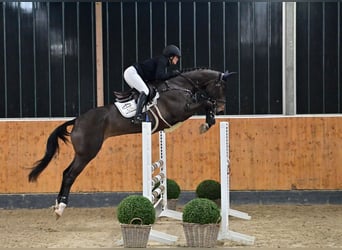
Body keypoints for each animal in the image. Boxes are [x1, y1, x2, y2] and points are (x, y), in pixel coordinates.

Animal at [28, 68, 235, 217]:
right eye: (221, 87)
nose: (222, 108)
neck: (180, 85)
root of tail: (77, 120)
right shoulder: (180, 112)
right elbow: (205, 103)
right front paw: (207, 122)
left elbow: (205, 104)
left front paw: (209, 119)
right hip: (87, 153)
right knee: (70, 175)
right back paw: (61, 207)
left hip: (83, 153)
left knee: (65, 173)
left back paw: (57, 205)